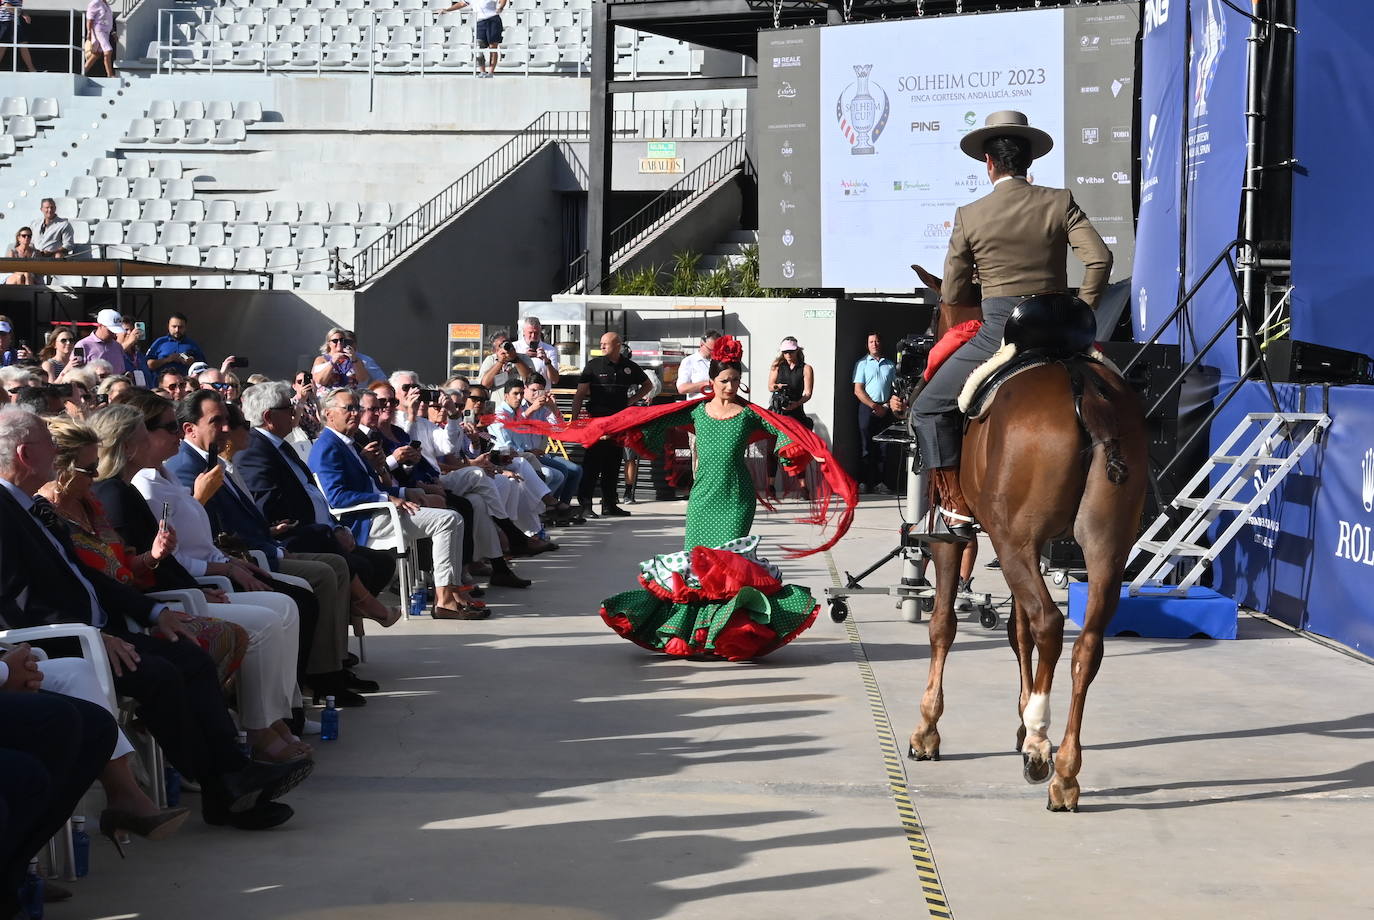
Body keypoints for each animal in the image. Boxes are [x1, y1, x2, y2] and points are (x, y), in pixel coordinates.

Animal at [912, 263, 1148, 812]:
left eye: (933, 316)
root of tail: (1080, 383)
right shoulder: (1026, 547)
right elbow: (1016, 634)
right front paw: (1020, 721)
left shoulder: (953, 535)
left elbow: (943, 626)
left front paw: (929, 728)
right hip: (1103, 549)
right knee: (1085, 643)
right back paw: (1065, 769)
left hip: (1012, 542)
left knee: (1048, 622)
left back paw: (1042, 747)